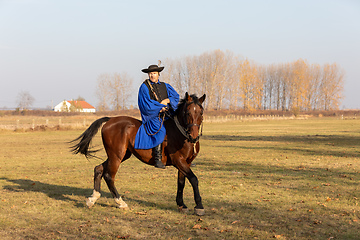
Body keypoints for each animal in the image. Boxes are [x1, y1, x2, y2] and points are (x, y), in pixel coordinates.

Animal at [71, 92, 205, 216]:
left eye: (201, 113)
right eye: (187, 113)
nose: (193, 137)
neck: (181, 134)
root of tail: (111, 120)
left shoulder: (186, 162)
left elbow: (181, 182)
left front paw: (181, 204)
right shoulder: (178, 160)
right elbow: (193, 179)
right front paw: (199, 206)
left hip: (120, 155)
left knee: (98, 169)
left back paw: (92, 199)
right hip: (116, 156)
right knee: (109, 176)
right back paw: (120, 203)